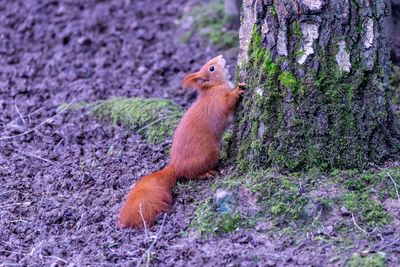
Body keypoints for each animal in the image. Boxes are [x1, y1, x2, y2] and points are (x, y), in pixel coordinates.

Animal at [117, 55, 245, 229]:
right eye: (211, 68)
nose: (221, 57)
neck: (212, 87)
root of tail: (175, 167)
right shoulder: (218, 101)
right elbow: (228, 101)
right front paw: (239, 90)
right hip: (209, 153)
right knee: (190, 174)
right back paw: (206, 173)